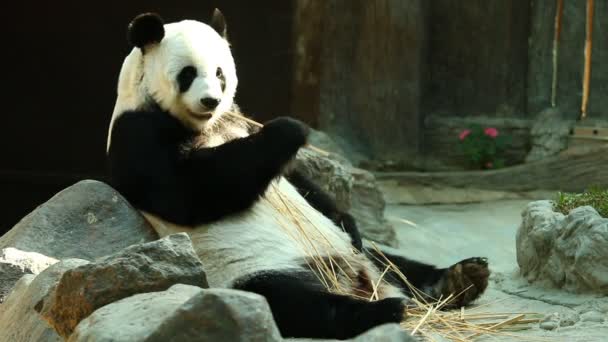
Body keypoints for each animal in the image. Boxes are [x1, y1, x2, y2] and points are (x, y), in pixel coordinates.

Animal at [107, 8, 492, 340]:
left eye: (219, 73)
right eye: (187, 73)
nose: (210, 101)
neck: (205, 124)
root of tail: (355, 279)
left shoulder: (237, 118)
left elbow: (300, 183)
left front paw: (347, 218)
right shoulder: (138, 132)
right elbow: (187, 191)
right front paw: (288, 129)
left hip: (355, 254)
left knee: (392, 261)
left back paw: (461, 278)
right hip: (244, 269)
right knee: (293, 302)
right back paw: (384, 311)